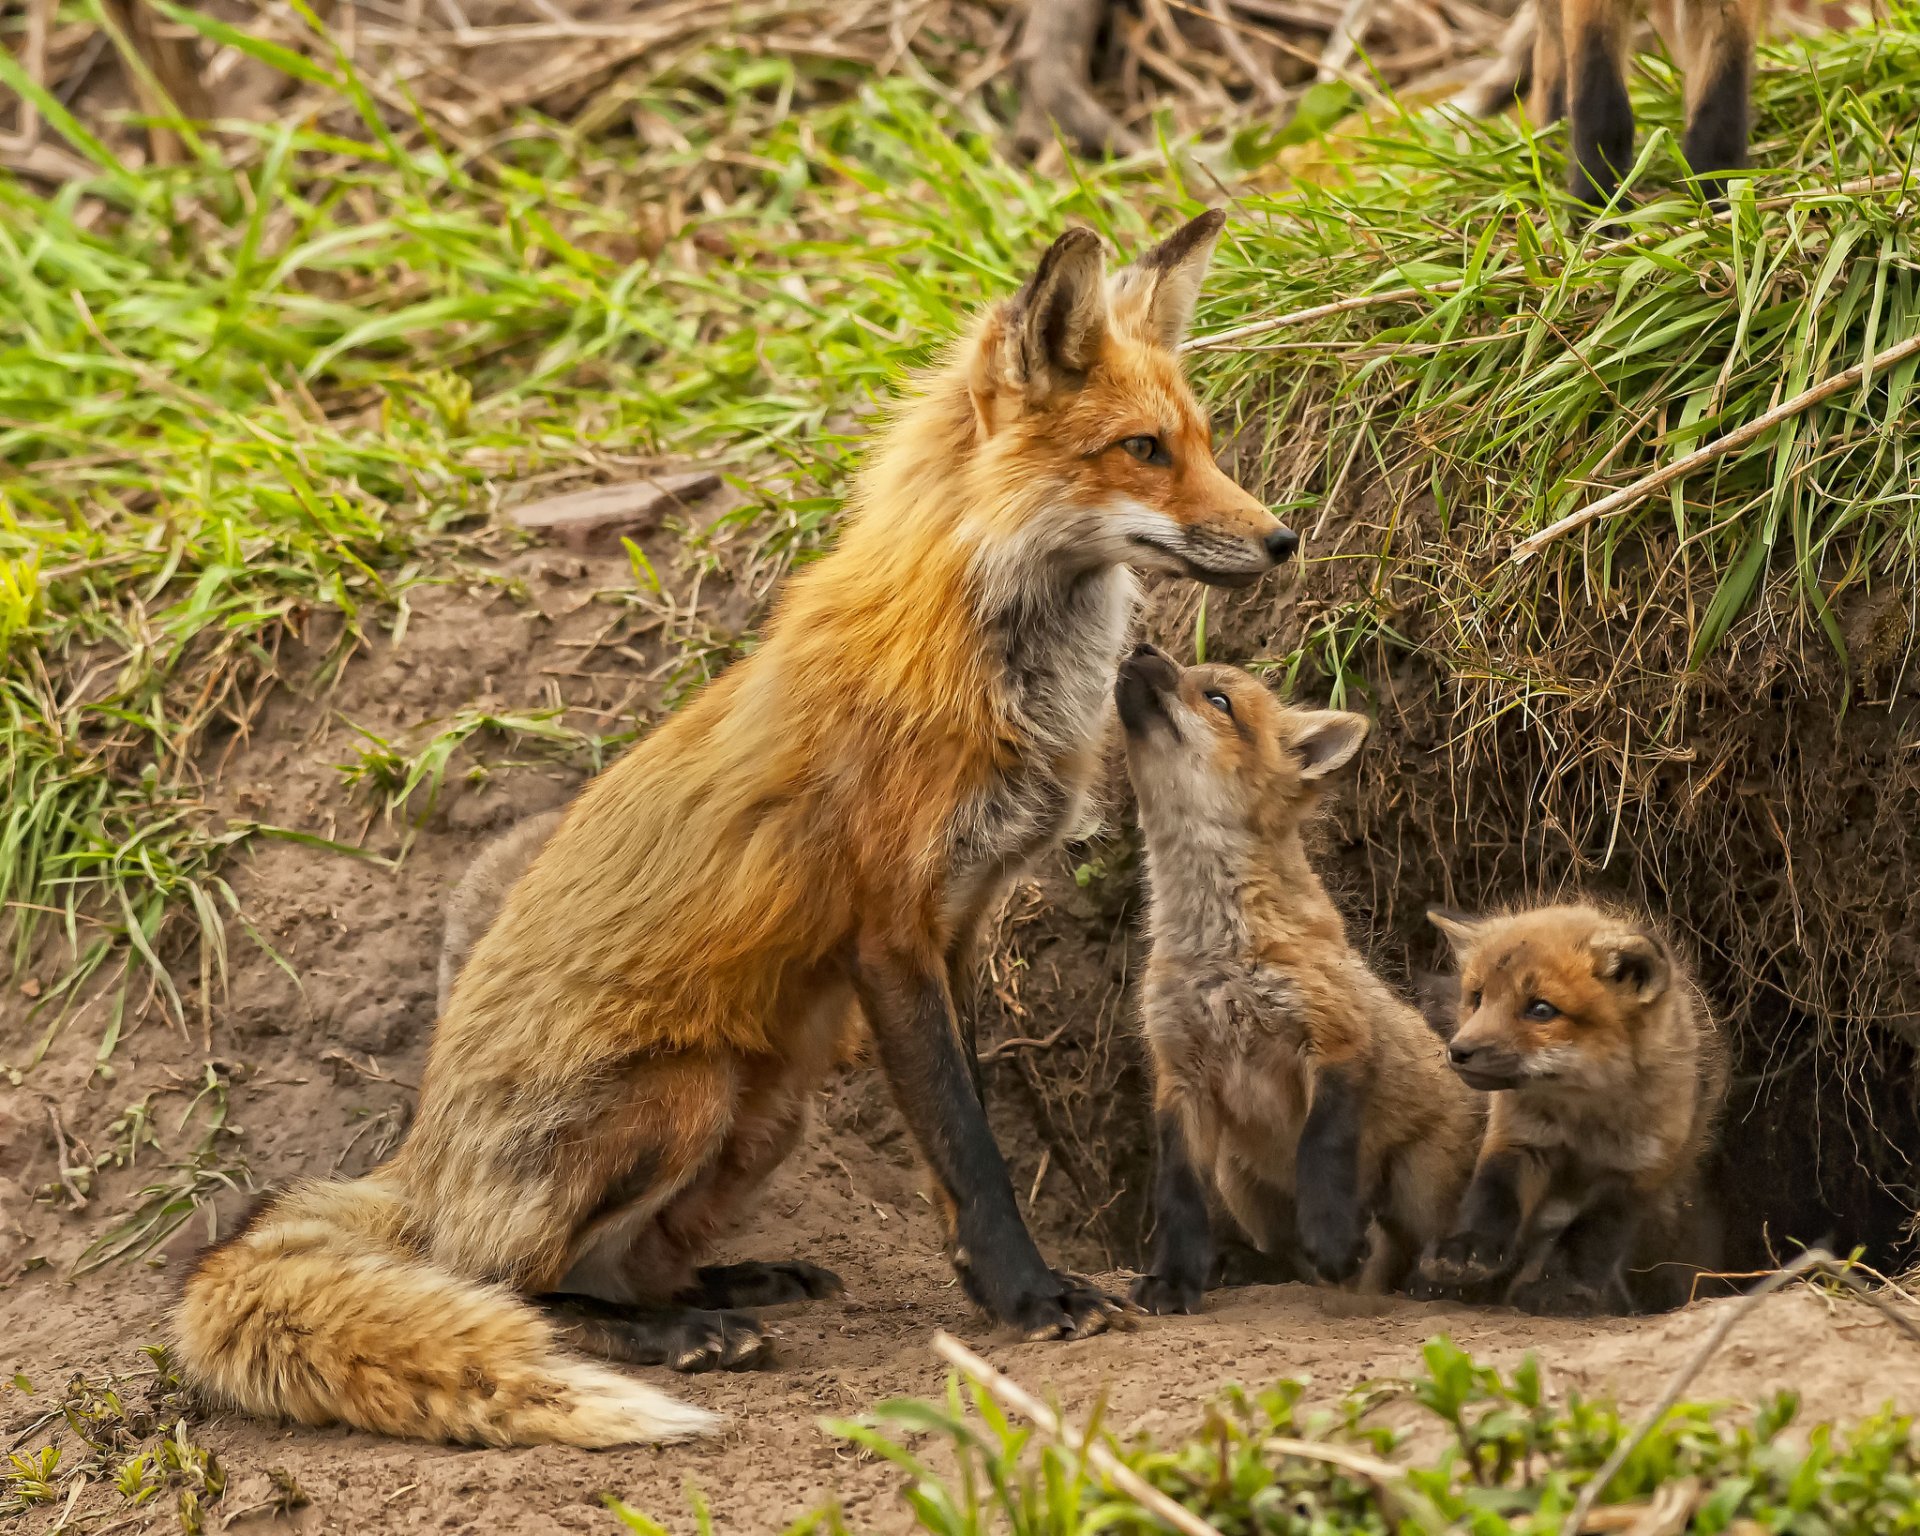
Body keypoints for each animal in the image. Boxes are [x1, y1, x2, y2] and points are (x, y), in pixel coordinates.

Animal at [173, 210, 1300, 1448]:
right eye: (1143, 449)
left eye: (1203, 442)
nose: (1283, 539)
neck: (981, 655)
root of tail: (416, 1166)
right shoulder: (887, 935)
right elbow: (972, 1151)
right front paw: (1029, 1297)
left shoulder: (956, 927)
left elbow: (959, 1147)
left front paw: (988, 1288)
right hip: (686, 1094)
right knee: (511, 1284)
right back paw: (674, 1336)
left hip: (765, 1111)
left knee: (613, 1264)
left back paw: (726, 1286)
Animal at [1117, 649, 1483, 1313]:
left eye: (1218, 700)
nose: (1141, 650)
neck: (1218, 951)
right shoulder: (1179, 1073)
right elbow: (1178, 1196)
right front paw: (1175, 1278)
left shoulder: (1333, 1039)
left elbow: (1322, 1152)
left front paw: (1333, 1239)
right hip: (1240, 1179)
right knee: (1287, 1259)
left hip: (1417, 1183)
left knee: (1410, 1250)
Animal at [1412, 902, 1729, 1315]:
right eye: (1477, 998)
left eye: (1540, 1009)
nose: (1459, 1051)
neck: (1583, 1114)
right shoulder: (1518, 1138)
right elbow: (1490, 1199)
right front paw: (1463, 1250)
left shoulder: (1641, 1168)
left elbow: (1593, 1234)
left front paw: (1562, 1286)